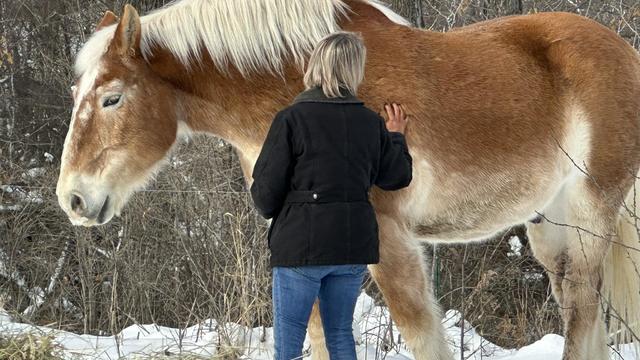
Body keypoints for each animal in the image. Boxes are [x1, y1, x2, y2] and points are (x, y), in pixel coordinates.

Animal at [53, 1, 640, 358]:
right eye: (76, 94)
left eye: (112, 98)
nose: (73, 199)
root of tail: (622, 51)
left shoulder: (392, 239)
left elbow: (424, 337)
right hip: (549, 227)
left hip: (590, 212)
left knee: (582, 311)